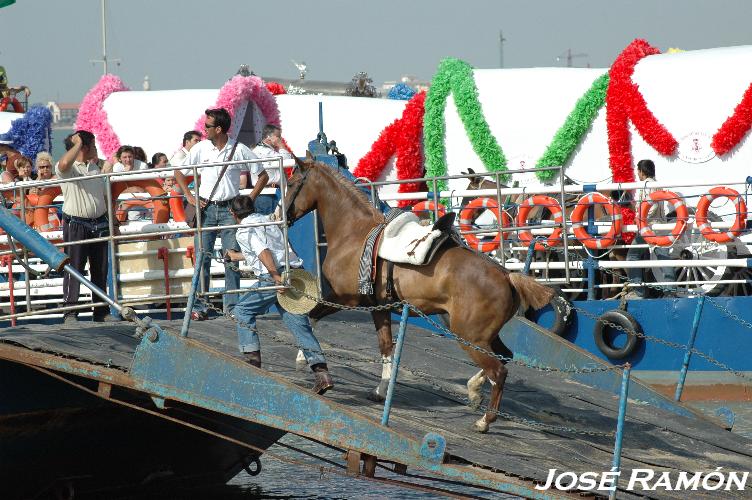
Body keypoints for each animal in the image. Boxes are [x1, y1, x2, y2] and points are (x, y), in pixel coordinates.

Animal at [282, 158, 552, 432]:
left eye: (291, 183)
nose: (281, 215)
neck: (355, 233)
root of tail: (507, 276)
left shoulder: (346, 299)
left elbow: (312, 315)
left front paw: (303, 357)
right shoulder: (379, 308)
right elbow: (385, 347)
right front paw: (381, 391)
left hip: (470, 336)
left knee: (498, 371)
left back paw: (484, 420)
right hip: (480, 335)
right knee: (505, 356)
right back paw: (474, 390)